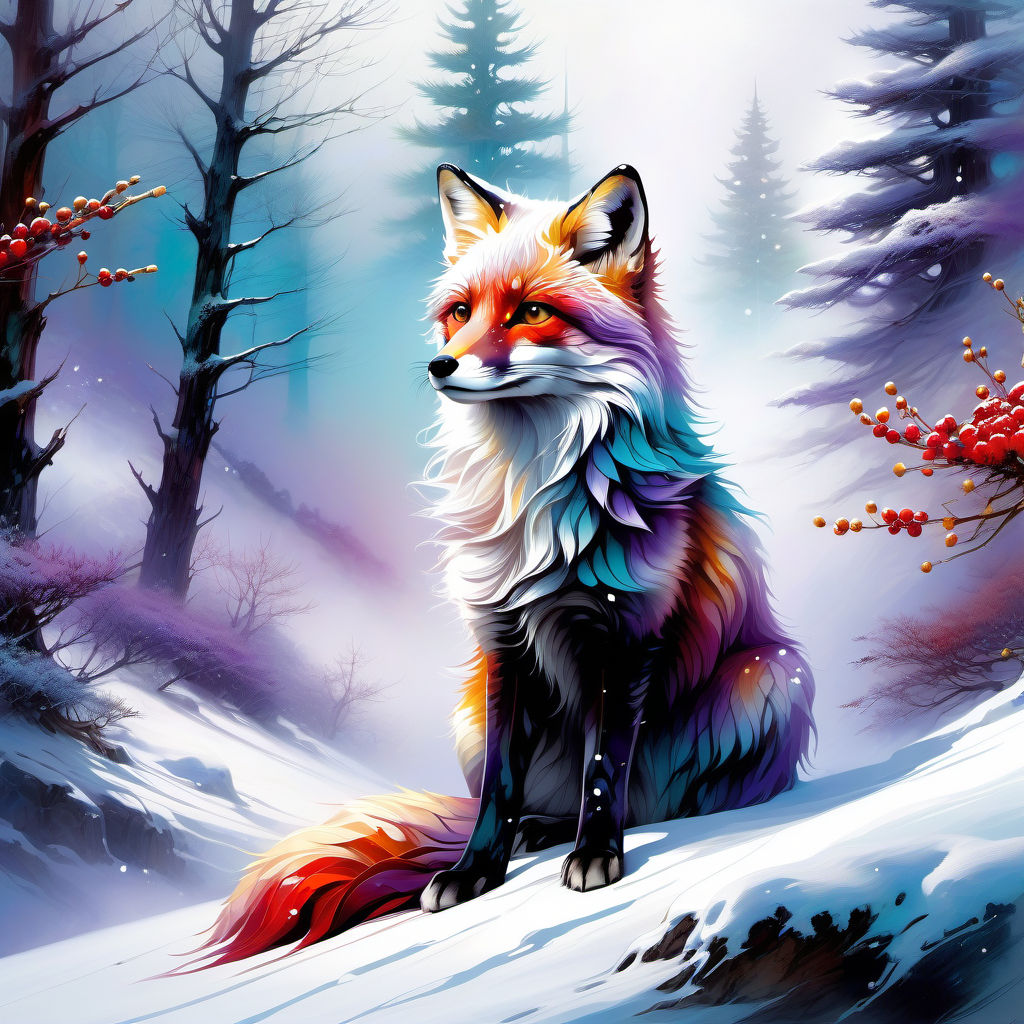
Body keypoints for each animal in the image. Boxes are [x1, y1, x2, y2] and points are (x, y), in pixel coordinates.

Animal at [193, 163, 815, 967]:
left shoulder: (626, 634)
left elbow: (603, 770)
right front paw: (475, 871)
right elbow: (500, 783)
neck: (538, 501)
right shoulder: (502, 637)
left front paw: (597, 854)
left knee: (667, 799)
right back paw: (536, 833)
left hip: (772, 675)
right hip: (466, 711)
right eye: (460, 312)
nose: (439, 364)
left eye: (531, 312)